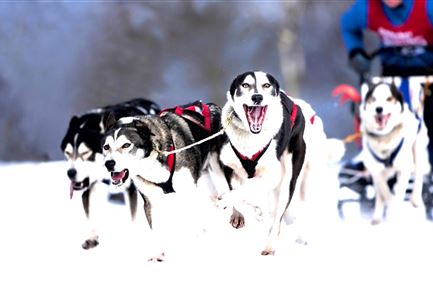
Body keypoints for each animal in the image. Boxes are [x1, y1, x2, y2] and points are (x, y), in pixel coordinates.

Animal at [60, 98, 159, 248]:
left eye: (86, 152)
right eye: (67, 152)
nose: (70, 173)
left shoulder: (132, 190)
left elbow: (133, 216)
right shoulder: (89, 188)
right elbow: (90, 213)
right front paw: (91, 237)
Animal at [101, 101, 228, 260]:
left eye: (126, 145)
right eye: (106, 147)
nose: (109, 163)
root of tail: (211, 105)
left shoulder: (189, 192)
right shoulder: (150, 202)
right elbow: (155, 228)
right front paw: (158, 254)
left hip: (217, 164)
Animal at [216, 71, 308, 255]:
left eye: (266, 85)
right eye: (245, 85)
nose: (257, 97)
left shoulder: (272, 175)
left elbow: (246, 189)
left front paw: (230, 201)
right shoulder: (228, 166)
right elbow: (237, 191)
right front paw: (241, 213)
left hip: (289, 178)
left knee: (278, 216)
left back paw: (269, 244)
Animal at [358, 81, 428, 223]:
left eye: (389, 99)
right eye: (373, 99)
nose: (379, 109)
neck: (384, 138)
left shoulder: (404, 167)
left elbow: (399, 190)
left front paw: (394, 207)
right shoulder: (374, 168)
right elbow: (382, 187)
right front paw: (388, 203)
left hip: (417, 148)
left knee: (418, 174)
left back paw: (415, 199)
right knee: (380, 190)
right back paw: (377, 216)